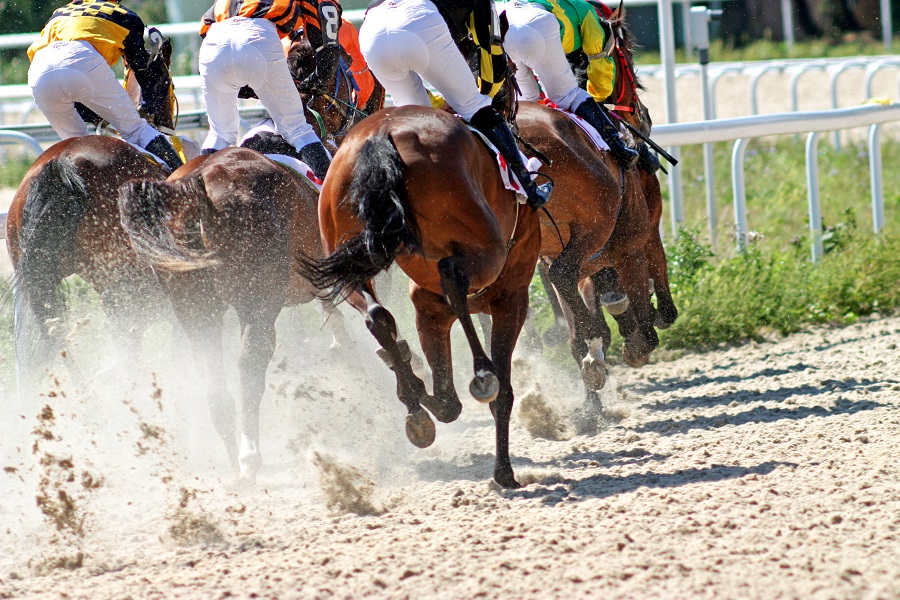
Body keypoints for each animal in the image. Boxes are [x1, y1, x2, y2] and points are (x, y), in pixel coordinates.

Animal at [118, 148, 326, 480]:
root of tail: (196, 184)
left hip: (197, 312)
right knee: (250, 365)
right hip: (257, 305)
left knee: (212, 377)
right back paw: (249, 455)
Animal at [300, 108, 540, 490]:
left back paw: (412, 399)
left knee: (377, 314)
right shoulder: (511, 298)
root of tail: (379, 135)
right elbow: (498, 394)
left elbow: (448, 402)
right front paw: (504, 471)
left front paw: (411, 384)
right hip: (483, 249)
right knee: (452, 276)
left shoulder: (428, 308)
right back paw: (480, 373)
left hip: (345, 250)